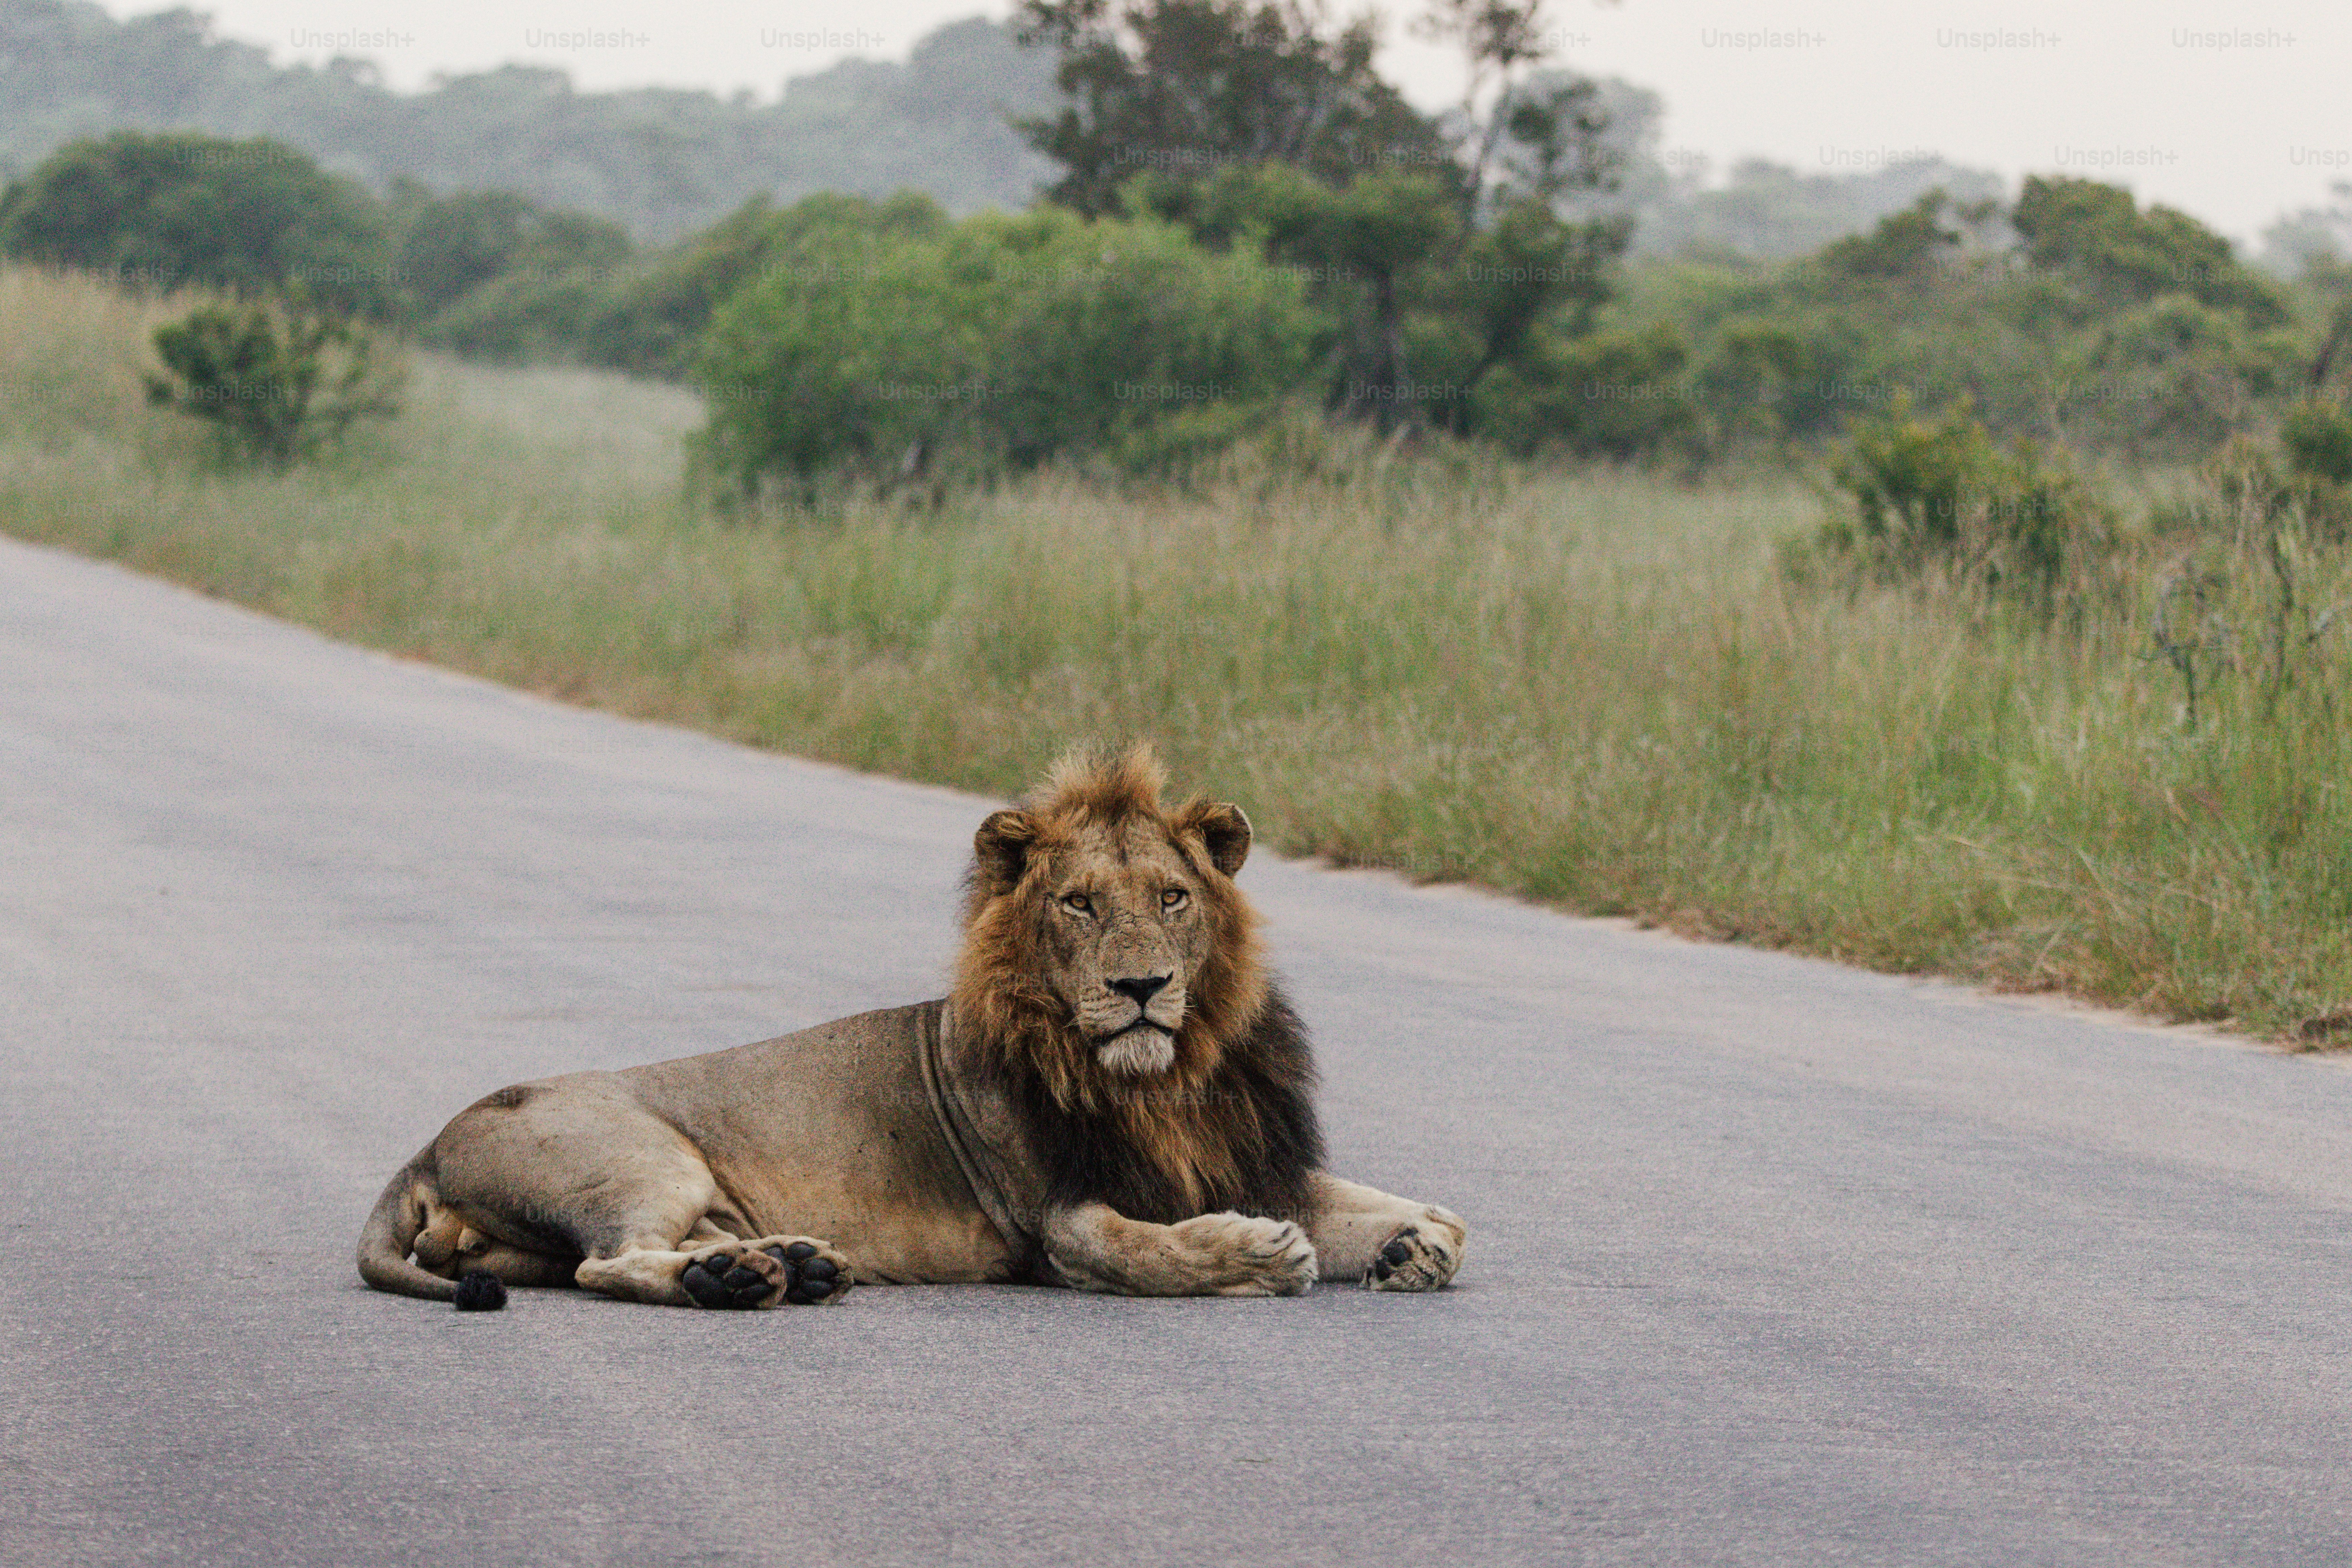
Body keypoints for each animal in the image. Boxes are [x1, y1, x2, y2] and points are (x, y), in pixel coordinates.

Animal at [357, 744, 1466, 1309]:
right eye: (1079, 905)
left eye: (1171, 897)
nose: (1143, 984)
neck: (1163, 1077)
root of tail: (429, 1142)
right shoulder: (1053, 1222)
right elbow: (1147, 1252)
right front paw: (1259, 1254)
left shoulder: (1243, 1153)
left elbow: (1404, 1211)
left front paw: (1413, 1239)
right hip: (645, 1157)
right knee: (608, 1261)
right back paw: (742, 1278)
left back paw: (781, 1264)